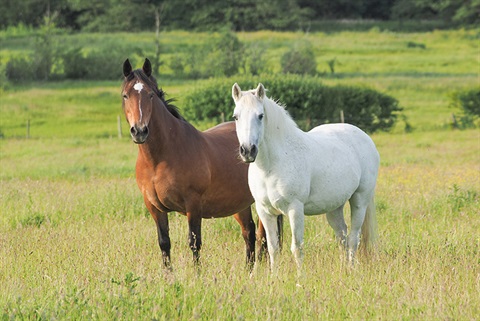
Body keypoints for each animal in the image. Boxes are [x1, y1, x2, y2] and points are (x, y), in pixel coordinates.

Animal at [122, 58, 274, 268]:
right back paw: (249, 270)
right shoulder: (154, 207)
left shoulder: (193, 205)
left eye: (150, 95)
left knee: (264, 236)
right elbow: (164, 243)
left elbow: (194, 243)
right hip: (240, 203)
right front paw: (168, 274)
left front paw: (197, 273)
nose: (139, 131)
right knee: (249, 233)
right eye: (125, 95)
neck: (159, 160)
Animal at [231, 82, 380, 270]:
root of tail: (365, 137)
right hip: (334, 206)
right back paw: (343, 270)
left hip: (360, 200)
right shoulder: (265, 211)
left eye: (260, 116)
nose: (248, 151)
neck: (271, 166)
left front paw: (299, 277)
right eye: (236, 116)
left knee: (353, 238)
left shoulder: (295, 209)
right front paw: (274, 276)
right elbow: (272, 248)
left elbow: (297, 248)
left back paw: (351, 269)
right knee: (342, 236)